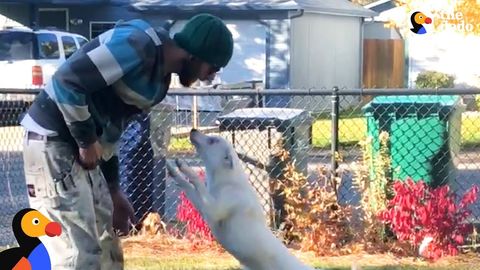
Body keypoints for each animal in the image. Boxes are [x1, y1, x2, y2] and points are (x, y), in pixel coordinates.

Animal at [167, 129, 314, 270]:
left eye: (212, 141)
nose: (193, 130)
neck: (228, 180)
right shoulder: (202, 204)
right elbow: (188, 186)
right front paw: (175, 171)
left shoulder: (212, 209)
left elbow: (196, 181)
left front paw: (186, 169)